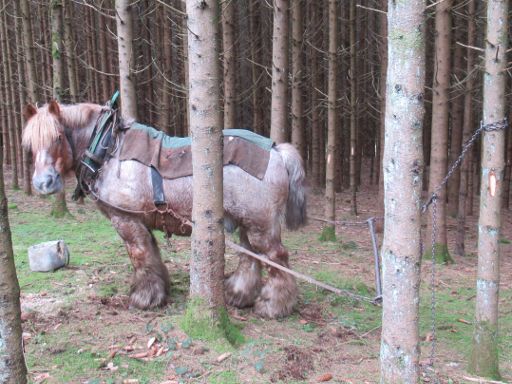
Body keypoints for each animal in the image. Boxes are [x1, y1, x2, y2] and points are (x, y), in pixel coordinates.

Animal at [22, 101, 306, 318]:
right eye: (29, 145)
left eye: (58, 137)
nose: (43, 183)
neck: (108, 149)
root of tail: (277, 151)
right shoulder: (142, 222)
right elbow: (152, 255)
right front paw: (158, 290)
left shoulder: (125, 221)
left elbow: (139, 257)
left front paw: (144, 297)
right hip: (247, 222)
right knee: (250, 257)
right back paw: (238, 294)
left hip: (262, 226)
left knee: (277, 258)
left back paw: (273, 305)